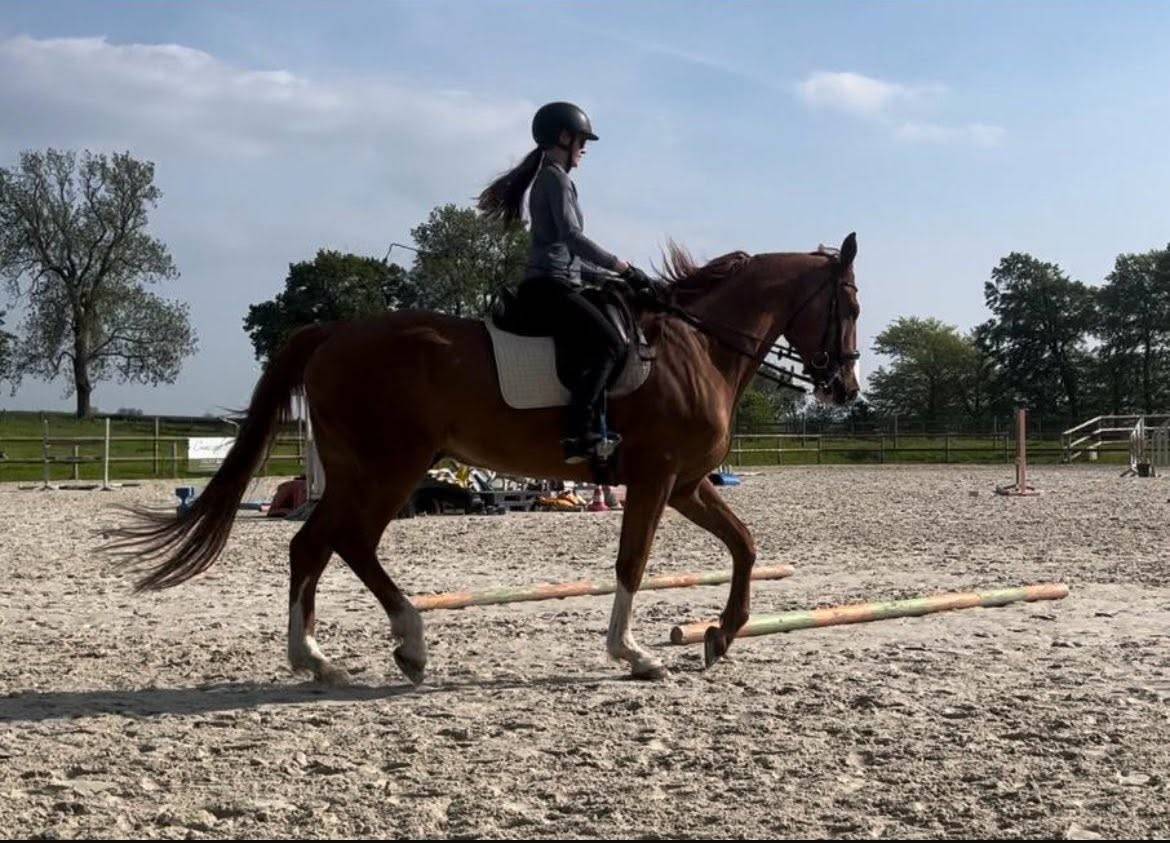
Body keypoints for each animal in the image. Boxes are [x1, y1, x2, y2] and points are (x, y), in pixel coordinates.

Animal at [108, 233, 861, 684]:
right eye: (849, 305)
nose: (846, 387)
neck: (696, 347)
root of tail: (334, 332)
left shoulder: (687, 482)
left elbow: (744, 543)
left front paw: (720, 635)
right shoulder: (656, 478)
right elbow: (633, 562)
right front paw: (634, 652)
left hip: (363, 470)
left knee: (315, 545)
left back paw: (322, 658)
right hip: (389, 467)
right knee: (342, 541)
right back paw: (399, 643)